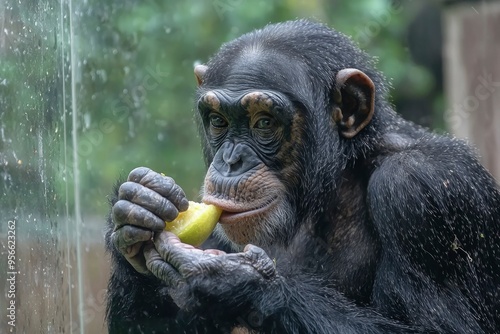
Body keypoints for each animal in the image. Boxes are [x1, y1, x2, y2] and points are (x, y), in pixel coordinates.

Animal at [105, 19, 500, 332]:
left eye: (264, 123)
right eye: (218, 121)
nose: (230, 161)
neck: (331, 185)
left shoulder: (422, 191)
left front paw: (231, 282)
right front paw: (138, 209)